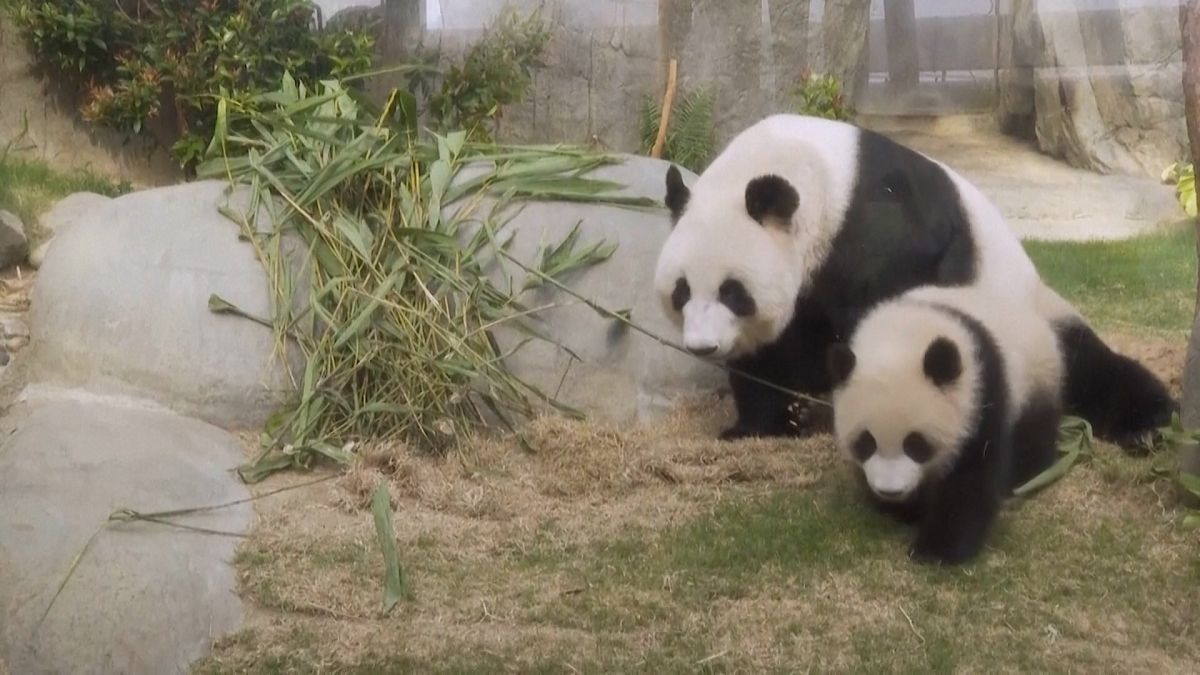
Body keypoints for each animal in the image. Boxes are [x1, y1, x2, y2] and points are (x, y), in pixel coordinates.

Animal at [657, 112, 1171, 444]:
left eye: (733, 293)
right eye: (681, 292)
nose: (703, 346)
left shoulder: (882, 229)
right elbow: (773, 349)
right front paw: (766, 423)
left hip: (1027, 315)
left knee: (1089, 365)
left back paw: (1146, 424)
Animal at [825, 283, 1060, 562]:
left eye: (916, 444)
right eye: (865, 443)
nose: (890, 492)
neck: (905, 333)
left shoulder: (981, 394)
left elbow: (971, 476)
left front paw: (937, 549)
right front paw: (905, 510)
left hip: (1036, 378)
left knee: (1034, 434)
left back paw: (1022, 472)